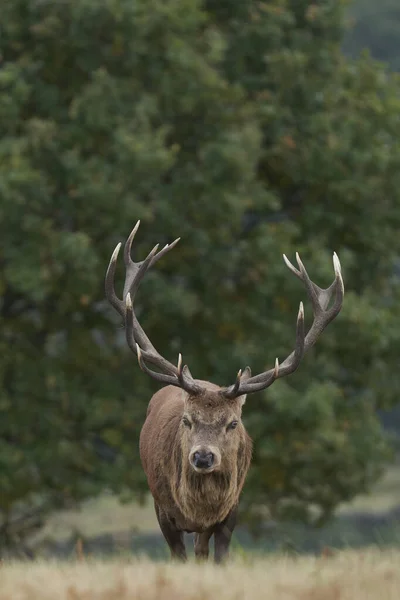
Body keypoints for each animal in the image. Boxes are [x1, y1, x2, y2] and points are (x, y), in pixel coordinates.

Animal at [105, 220, 344, 564]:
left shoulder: (231, 512)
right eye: (187, 420)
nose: (203, 457)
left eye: (232, 423)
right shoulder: (162, 511)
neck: (199, 509)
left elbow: (218, 557)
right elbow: (178, 557)